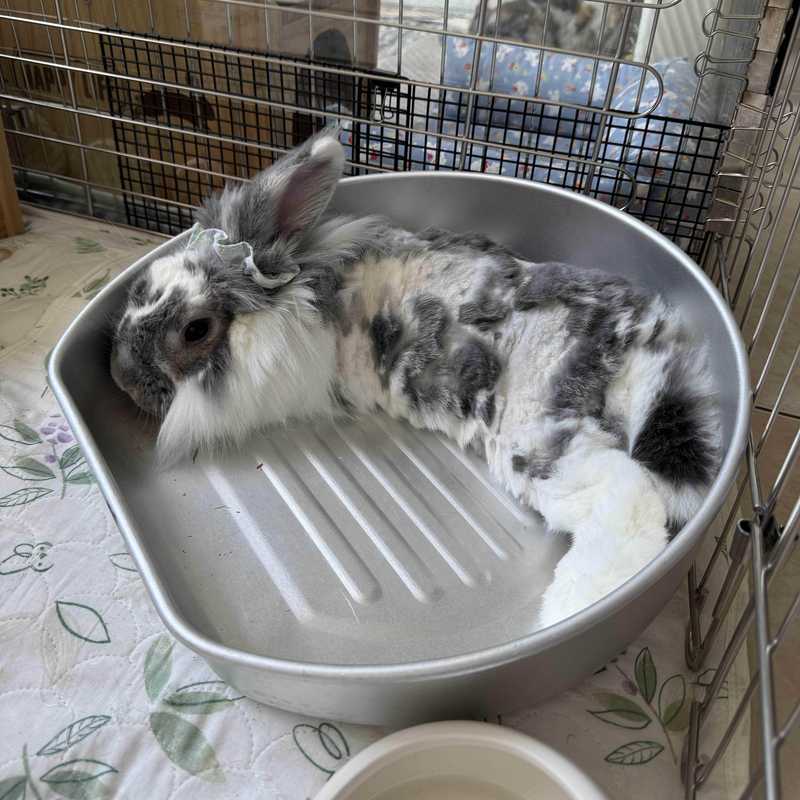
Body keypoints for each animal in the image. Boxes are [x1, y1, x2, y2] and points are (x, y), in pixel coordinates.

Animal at [110, 131, 721, 626]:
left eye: (195, 330)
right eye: (141, 289)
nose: (120, 378)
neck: (294, 300)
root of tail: (639, 341)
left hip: (539, 443)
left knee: (627, 499)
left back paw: (571, 608)